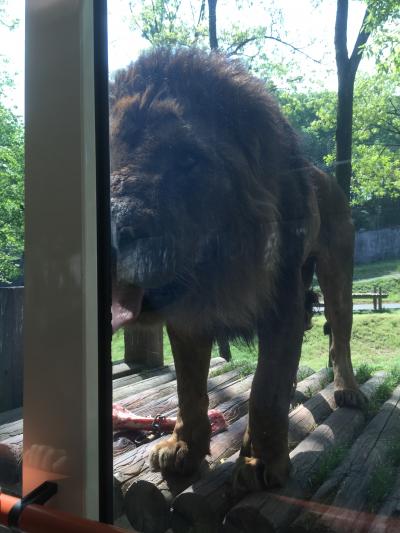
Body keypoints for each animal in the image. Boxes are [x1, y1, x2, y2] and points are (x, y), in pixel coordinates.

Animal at [108, 48, 362, 490]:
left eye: (189, 159)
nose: (111, 231)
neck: (219, 274)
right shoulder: (187, 317)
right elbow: (189, 389)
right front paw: (183, 448)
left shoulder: (282, 305)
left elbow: (264, 392)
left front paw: (260, 461)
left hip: (337, 276)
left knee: (339, 338)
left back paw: (347, 389)